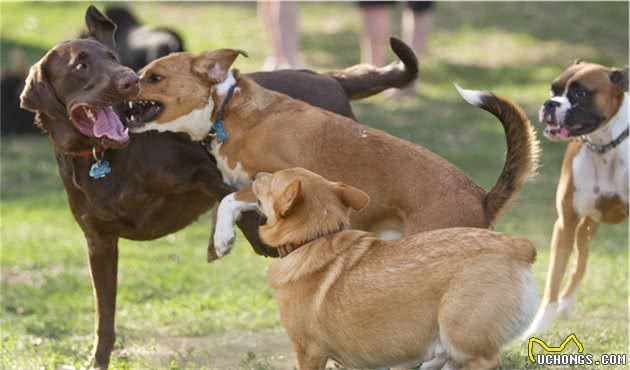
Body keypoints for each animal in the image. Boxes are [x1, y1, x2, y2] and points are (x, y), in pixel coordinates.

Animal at [126, 49, 540, 258]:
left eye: (155, 77)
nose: (125, 81)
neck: (226, 108)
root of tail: (482, 198)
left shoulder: (282, 174)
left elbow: (230, 199)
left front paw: (223, 239)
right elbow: (232, 197)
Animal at [239, 168, 540, 370]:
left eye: (272, 179)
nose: (253, 175)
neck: (314, 237)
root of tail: (517, 246)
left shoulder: (308, 353)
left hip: (466, 344)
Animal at [524, 61, 628, 336]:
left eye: (580, 93)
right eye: (553, 89)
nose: (550, 104)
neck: (604, 146)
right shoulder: (566, 224)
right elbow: (553, 280)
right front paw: (538, 328)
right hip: (586, 227)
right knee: (579, 264)